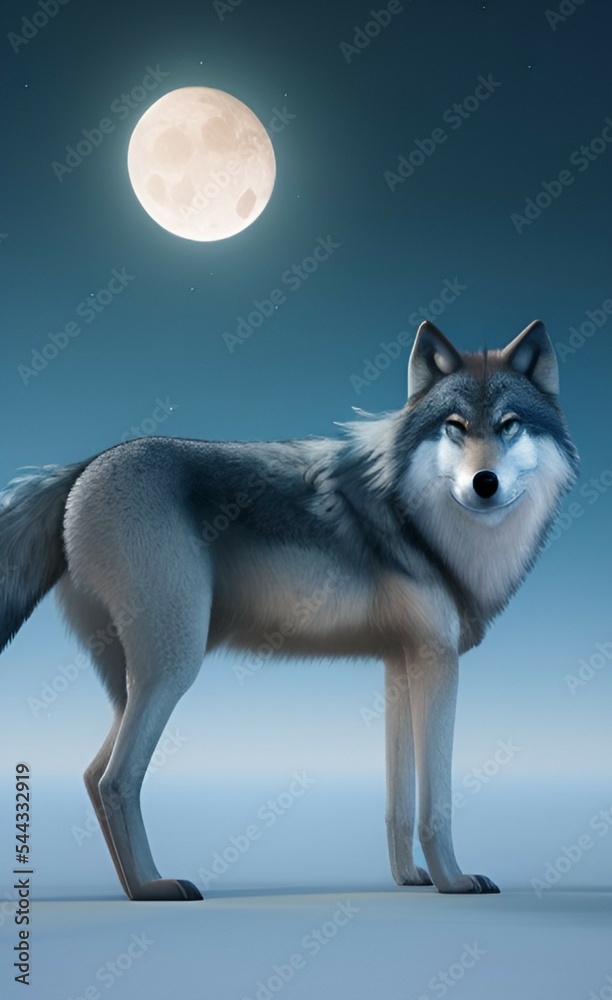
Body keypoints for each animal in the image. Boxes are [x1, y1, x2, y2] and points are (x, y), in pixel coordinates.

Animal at [0, 320, 578, 900]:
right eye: (455, 426)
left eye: (509, 425)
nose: (485, 483)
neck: (426, 527)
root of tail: (84, 467)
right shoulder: (438, 661)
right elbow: (436, 803)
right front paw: (452, 881)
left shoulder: (403, 664)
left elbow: (398, 801)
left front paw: (410, 879)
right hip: (173, 667)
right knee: (116, 779)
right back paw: (153, 888)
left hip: (133, 685)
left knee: (90, 775)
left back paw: (132, 885)